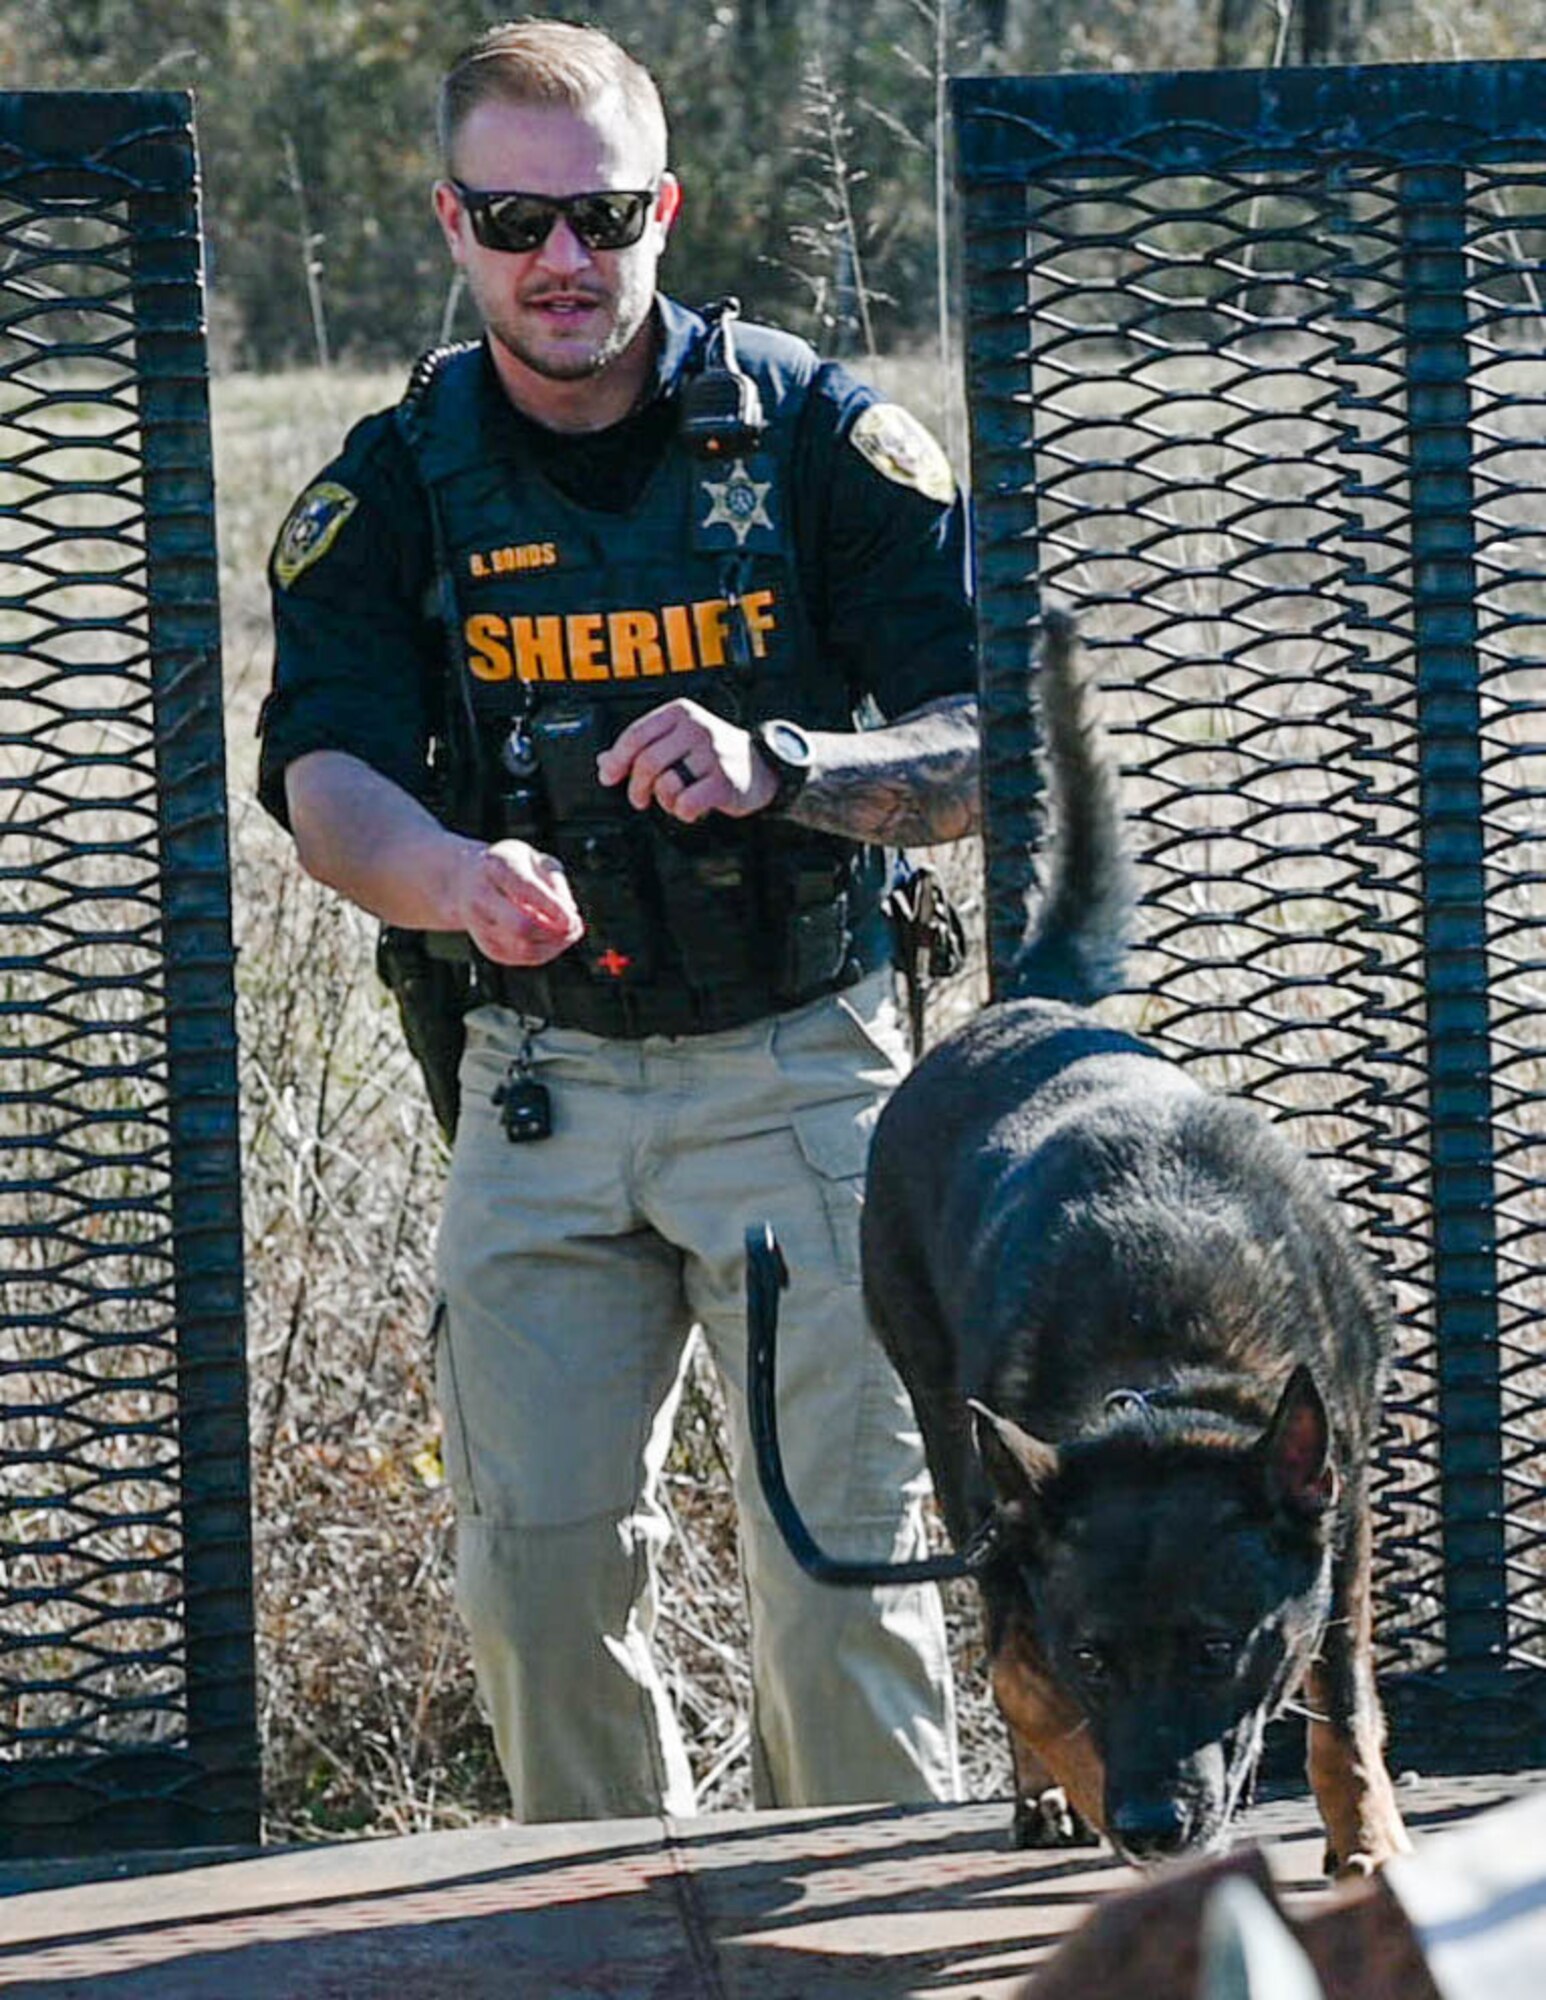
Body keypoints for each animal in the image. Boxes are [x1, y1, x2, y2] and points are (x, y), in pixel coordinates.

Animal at [856, 608, 1408, 1872]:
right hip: (950, 1441)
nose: (1156, 1826)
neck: (1171, 1365)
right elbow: (1020, 1681)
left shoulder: (1342, 1515)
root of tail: (1025, 1005)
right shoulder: (1016, 1543)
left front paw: (1365, 1831)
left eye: (1214, 1646)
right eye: (1097, 1653)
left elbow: (1342, 1694)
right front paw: (1084, 1782)